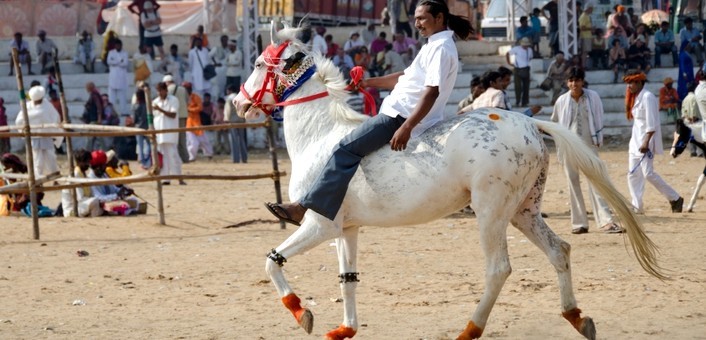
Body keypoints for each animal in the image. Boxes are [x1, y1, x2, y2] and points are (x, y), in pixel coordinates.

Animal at [232, 25, 664, 338]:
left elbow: (272, 262)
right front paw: (344, 329)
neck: (320, 137)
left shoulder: (318, 224)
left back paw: (470, 329)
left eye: (258, 64)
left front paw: (301, 312)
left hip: (491, 212)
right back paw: (577, 317)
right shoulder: (345, 229)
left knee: (498, 269)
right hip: (524, 210)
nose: (237, 103)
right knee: (560, 251)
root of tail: (528, 122)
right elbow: (348, 280)